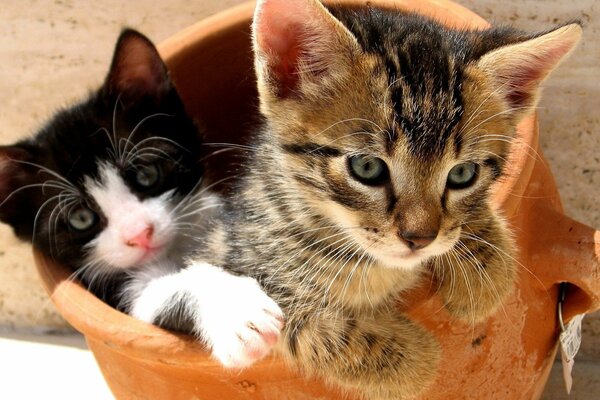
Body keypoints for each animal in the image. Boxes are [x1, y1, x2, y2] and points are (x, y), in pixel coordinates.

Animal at [0, 28, 284, 368]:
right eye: (81, 218)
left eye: (146, 174)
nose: (139, 233)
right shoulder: (120, 294)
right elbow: (164, 291)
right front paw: (237, 313)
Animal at [185, 0, 580, 396]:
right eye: (367, 167)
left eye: (462, 174)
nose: (419, 239)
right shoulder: (243, 258)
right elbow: (301, 325)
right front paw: (415, 360)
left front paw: (487, 271)